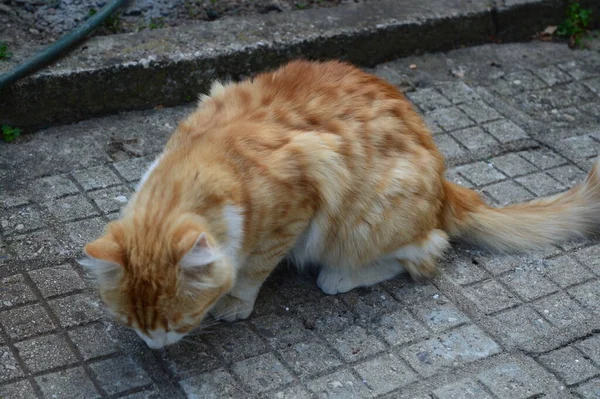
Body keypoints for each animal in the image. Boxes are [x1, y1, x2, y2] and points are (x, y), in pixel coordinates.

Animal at [81, 60, 600, 350]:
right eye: (130, 321)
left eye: (179, 322)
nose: (156, 348)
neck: (209, 158)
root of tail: (446, 185)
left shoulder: (293, 212)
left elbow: (252, 269)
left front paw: (237, 302)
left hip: (368, 221)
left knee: (424, 253)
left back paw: (339, 276)